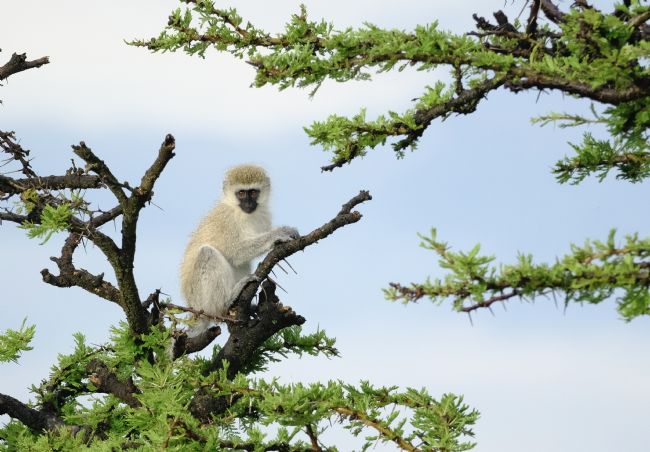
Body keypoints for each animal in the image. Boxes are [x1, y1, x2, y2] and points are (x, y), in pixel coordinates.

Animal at [179, 164, 299, 332]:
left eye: (253, 192)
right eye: (241, 193)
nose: (248, 204)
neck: (242, 212)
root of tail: (196, 312)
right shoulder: (227, 219)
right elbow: (234, 252)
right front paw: (278, 234)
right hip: (199, 299)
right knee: (207, 253)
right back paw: (227, 301)